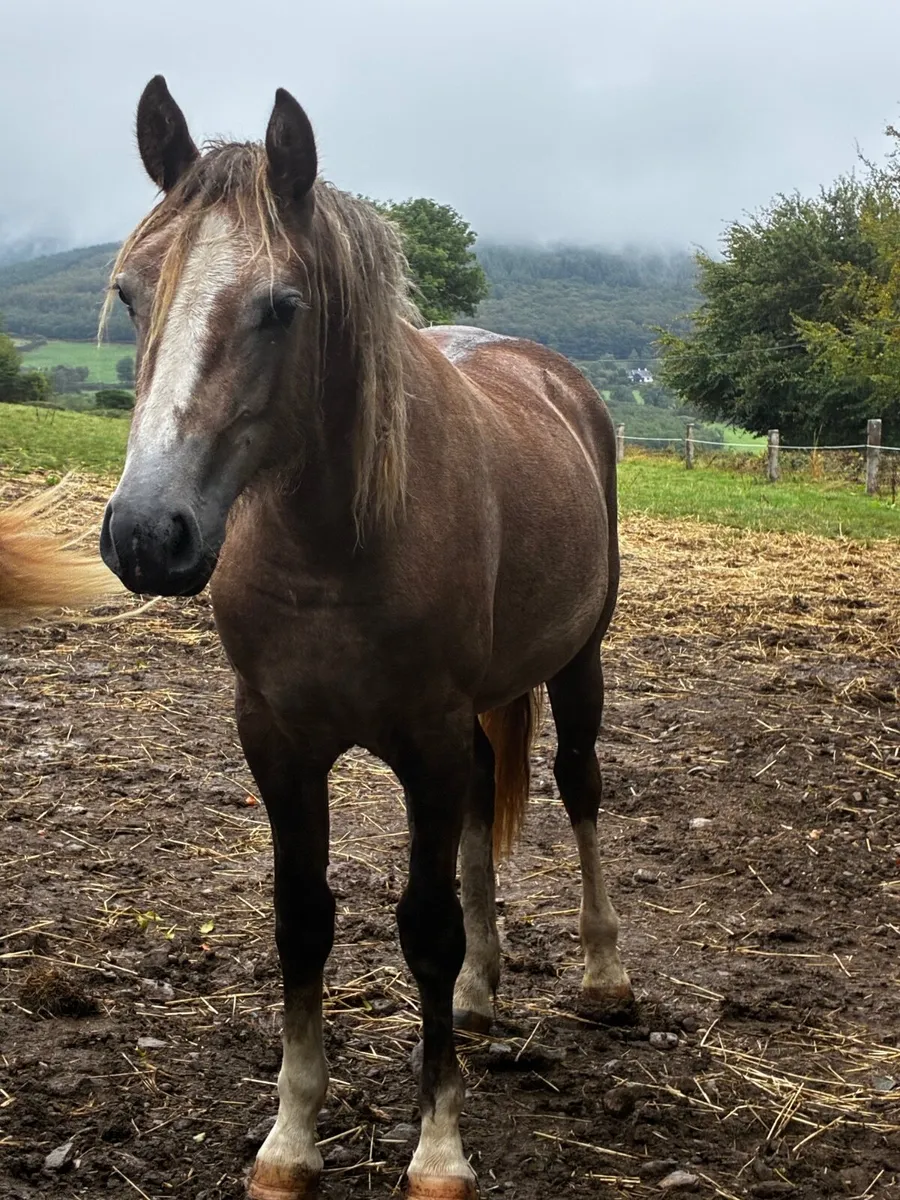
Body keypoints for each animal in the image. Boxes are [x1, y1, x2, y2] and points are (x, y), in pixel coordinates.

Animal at [99, 75, 634, 1200]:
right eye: (130, 294)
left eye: (282, 307)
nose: (148, 534)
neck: (334, 546)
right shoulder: (279, 741)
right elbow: (302, 918)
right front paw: (290, 1140)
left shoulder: (422, 739)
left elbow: (423, 928)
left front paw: (439, 1151)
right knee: (485, 802)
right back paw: (481, 994)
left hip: (578, 661)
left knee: (579, 786)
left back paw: (606, 972)